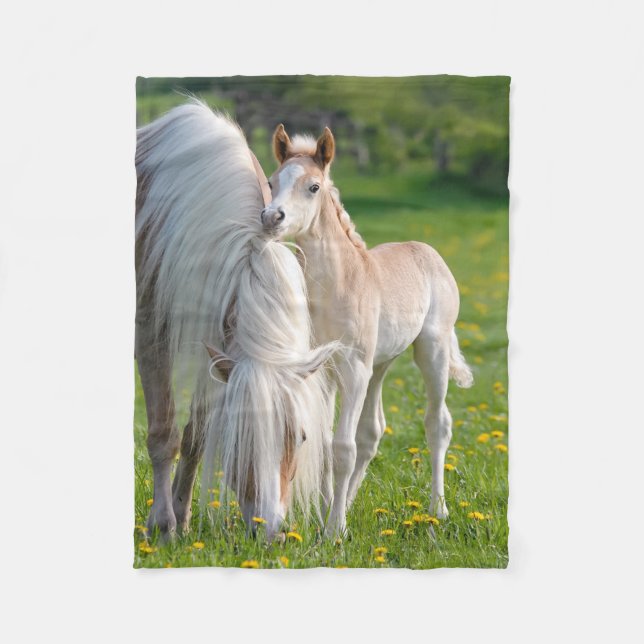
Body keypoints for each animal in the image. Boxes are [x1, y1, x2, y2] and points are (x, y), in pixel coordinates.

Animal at [135, 101, 337, 541]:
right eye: (241, 438)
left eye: (301, 436)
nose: (271, 531)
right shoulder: (152, 333)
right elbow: (164, 433)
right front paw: (163, 524)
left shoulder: (216, 342)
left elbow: (196, 434)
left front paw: (181, 515)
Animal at [260, 125, 474, 536]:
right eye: (272, 181)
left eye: (313, 186)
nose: (271, 217)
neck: (338, 284)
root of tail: (426, 250)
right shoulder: (324, 370)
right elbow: (328, 443)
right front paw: (326, 514)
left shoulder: (354, 367)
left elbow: (343, 447)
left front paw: (334, 531)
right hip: (380, 364)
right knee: (372, 432)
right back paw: (349, 503)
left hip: (430, 350)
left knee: (437, 424)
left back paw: (438, 509)